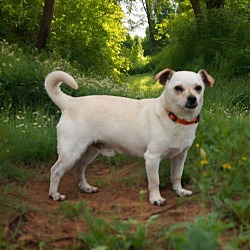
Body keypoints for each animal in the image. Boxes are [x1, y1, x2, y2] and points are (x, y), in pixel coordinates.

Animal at [46, 68, 214, 205]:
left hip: (89, 151)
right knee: (55, 170)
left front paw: (179, 191)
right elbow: (155, 180)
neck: (175, 118)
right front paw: (155, 199)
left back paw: (86, 188)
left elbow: (177, 175)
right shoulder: (152, 158)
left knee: (79, 168)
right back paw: (54, 195)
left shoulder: (180, 156)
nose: (192, 98)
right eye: (178, 88)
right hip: (71, 153)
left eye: (198, 88)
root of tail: (70, 102)